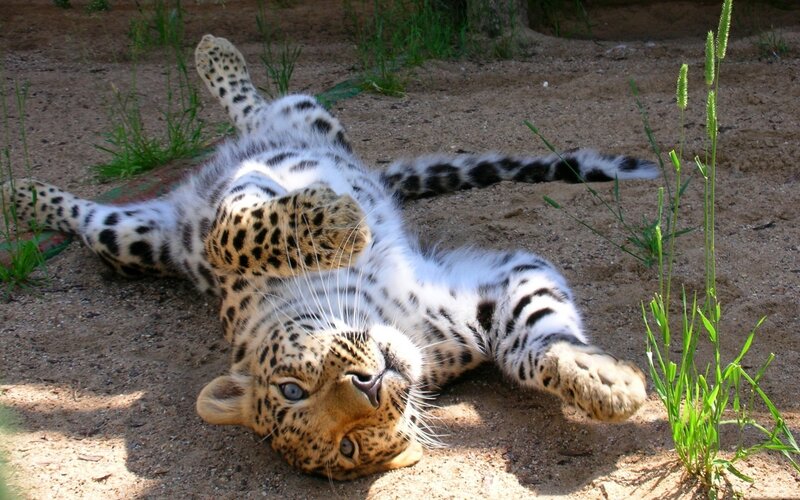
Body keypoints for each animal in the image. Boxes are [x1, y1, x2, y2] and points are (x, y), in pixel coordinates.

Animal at [1, 34, 655, 480]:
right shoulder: (490, 291)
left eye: (291, 388)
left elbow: (235, 230)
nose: (368, 385)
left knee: (259, 108)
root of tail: (179, 202)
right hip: (131, 239)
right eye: (347, 444)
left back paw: (216, 55)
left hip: (305, 119)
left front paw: (604, 382)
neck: (393, 317)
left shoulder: (489, 294)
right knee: (88, 220)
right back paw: (23, 195)